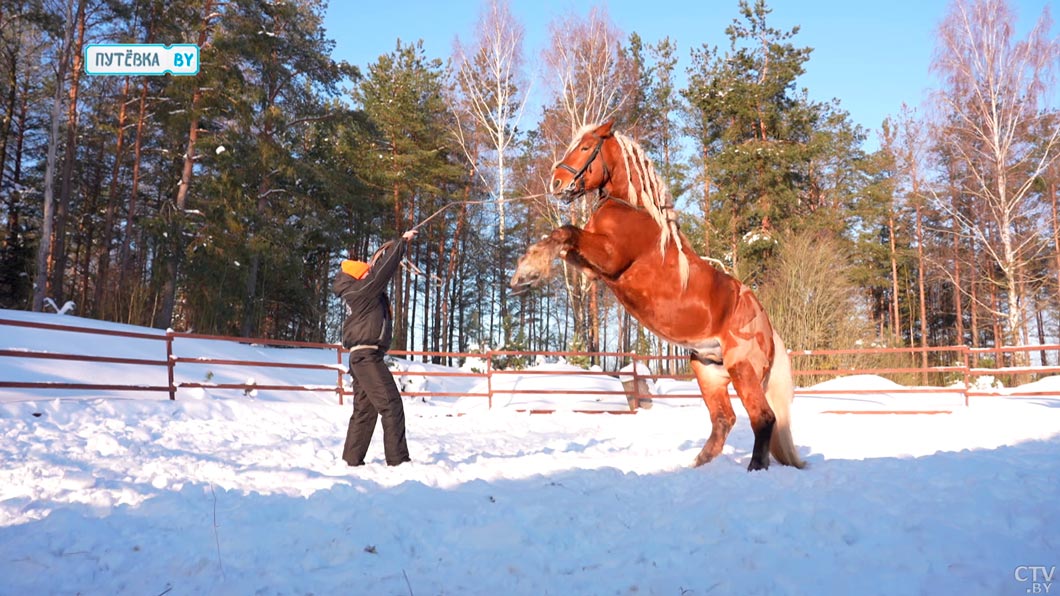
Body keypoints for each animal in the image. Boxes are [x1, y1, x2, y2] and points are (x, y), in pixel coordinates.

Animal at [510, 121, 805, 471]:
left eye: (585, 147)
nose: (557, 183)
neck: (631, 209)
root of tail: (768, 327)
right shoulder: (591, 268)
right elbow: (561, 238)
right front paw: (526, 273)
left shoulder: (609, 257)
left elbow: (565, 231)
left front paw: (526, 274)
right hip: (707, 370)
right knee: (724, 419)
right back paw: (696, 465)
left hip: (742, 370)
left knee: (763, 418)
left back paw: (754, 468)